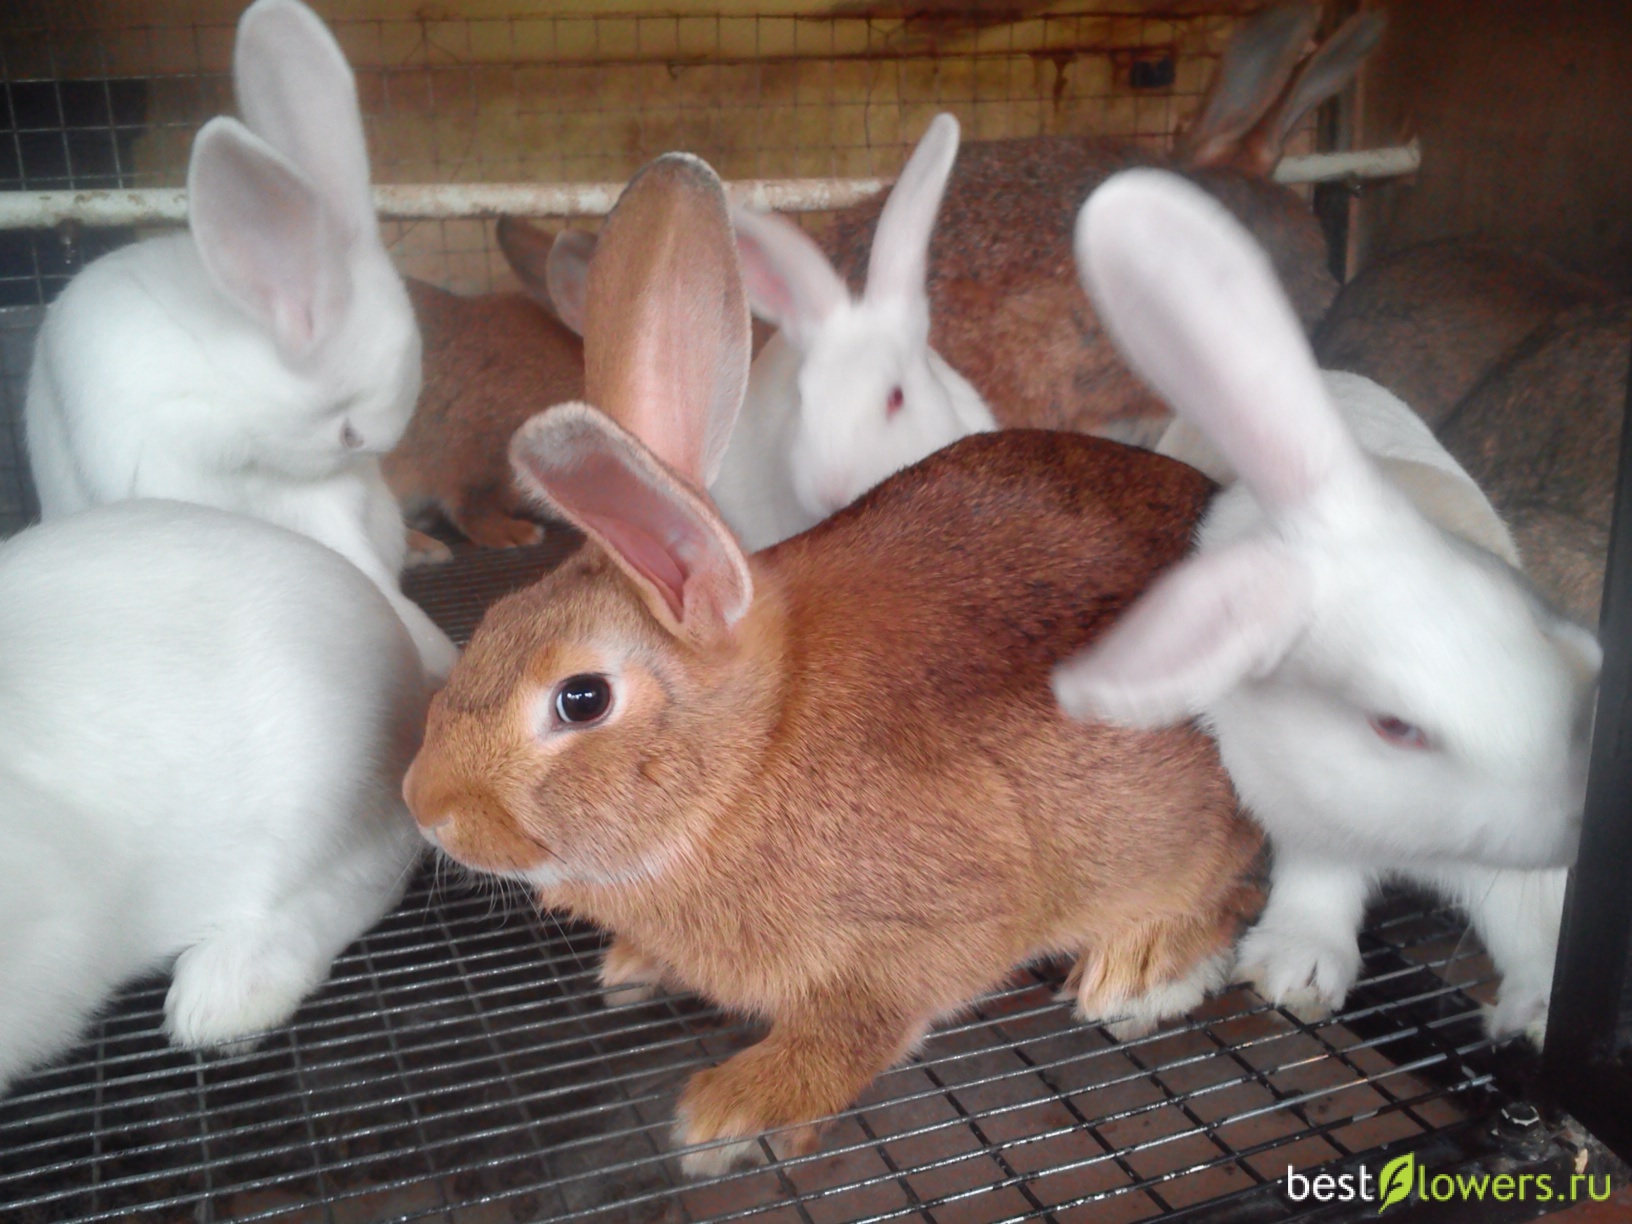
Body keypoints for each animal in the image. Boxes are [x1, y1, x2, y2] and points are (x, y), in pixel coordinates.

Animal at [400, 151, 1264, 1174]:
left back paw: (1135, 975)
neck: (752, 754)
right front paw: (636, 965)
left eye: (581, 699)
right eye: (490, 624)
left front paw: (731, 1109)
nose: (424, 807)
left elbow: (861, 1024)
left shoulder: (933, 925)